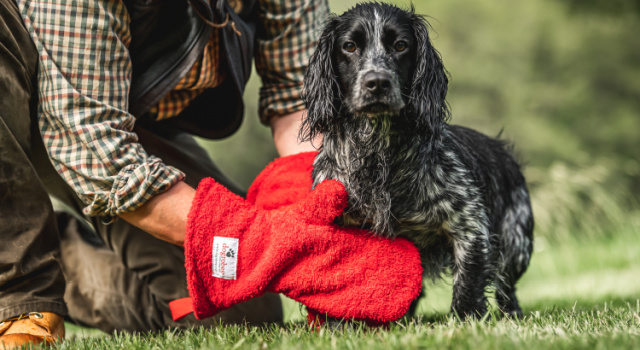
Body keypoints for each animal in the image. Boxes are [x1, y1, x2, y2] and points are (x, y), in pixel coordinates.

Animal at [300, 3, 536, 320]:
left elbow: (468, 284)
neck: (378, 153)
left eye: (401, 45)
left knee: (506, 287)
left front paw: (466, 321)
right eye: (349, 46)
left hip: (517, 243)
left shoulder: (470, 225)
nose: (377, 82)